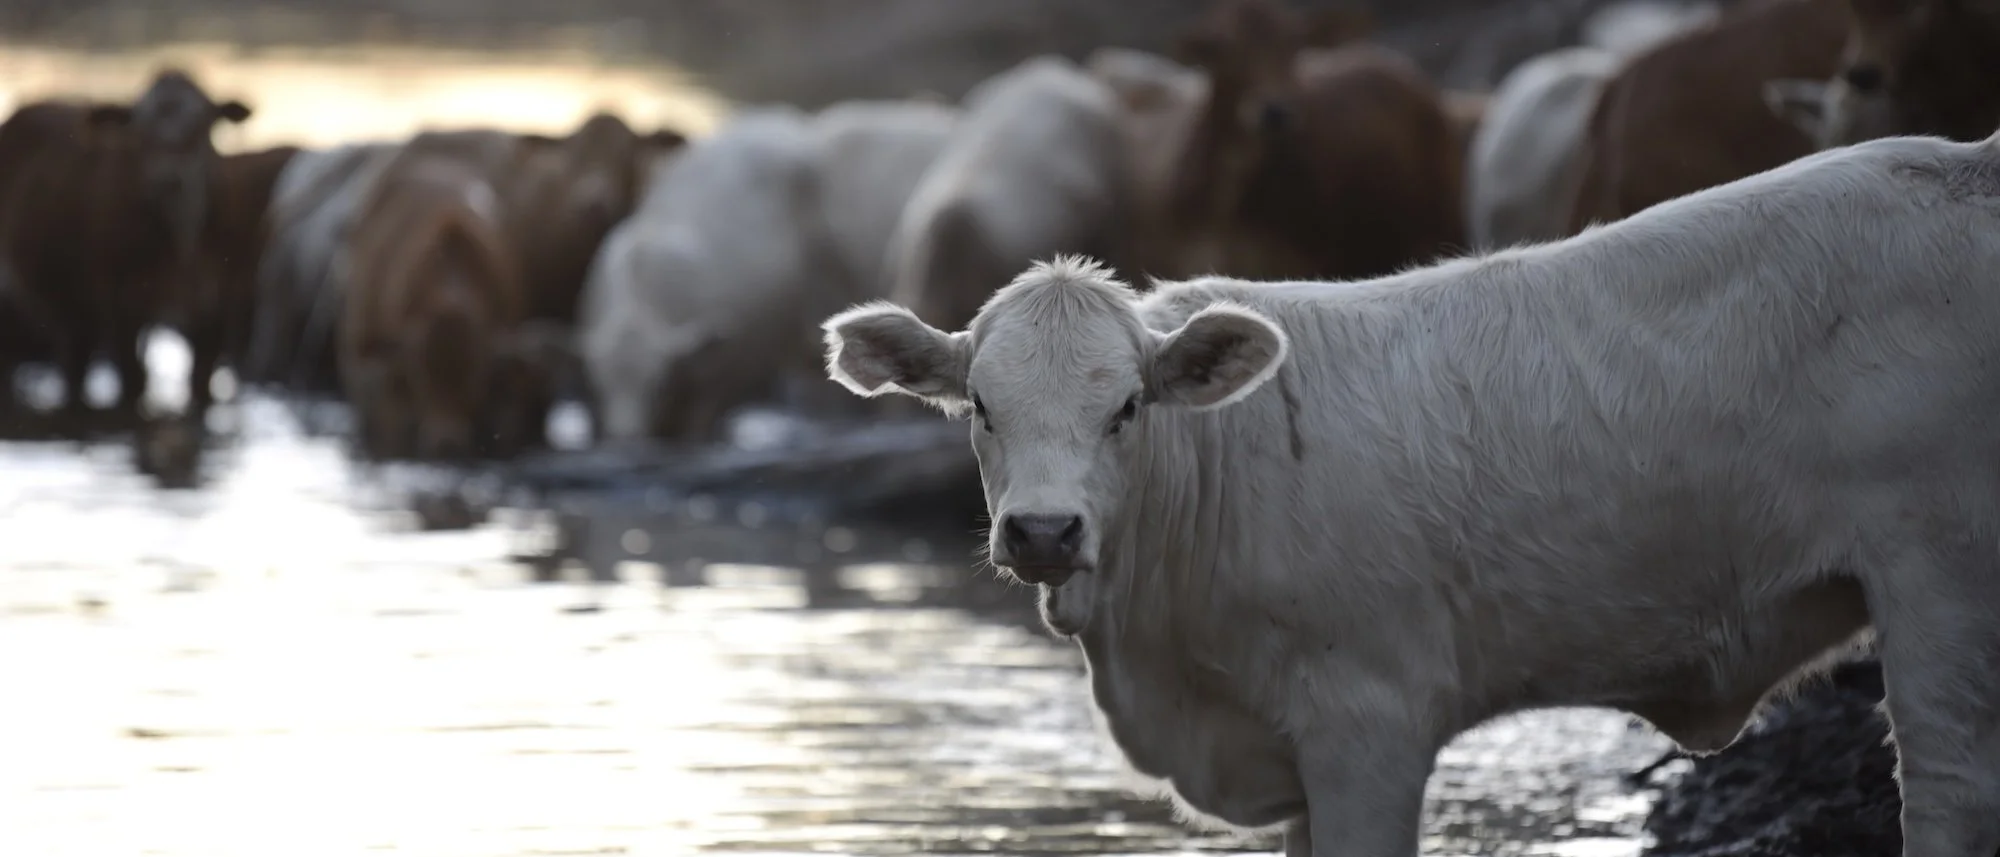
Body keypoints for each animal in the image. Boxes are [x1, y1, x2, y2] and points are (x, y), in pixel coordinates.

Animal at [0, 70, 251, 429]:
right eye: (140, 132)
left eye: (201, 125)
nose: (168, 179)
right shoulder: (119, 306)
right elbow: (134, 383)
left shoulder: (215, 310)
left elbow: (201, 386)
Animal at [819, 129, 2000, 857]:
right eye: (979, 404)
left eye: (1127, 408)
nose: (1043, 528)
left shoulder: (1367, 722)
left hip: (1940, 567)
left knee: (1947, 784)